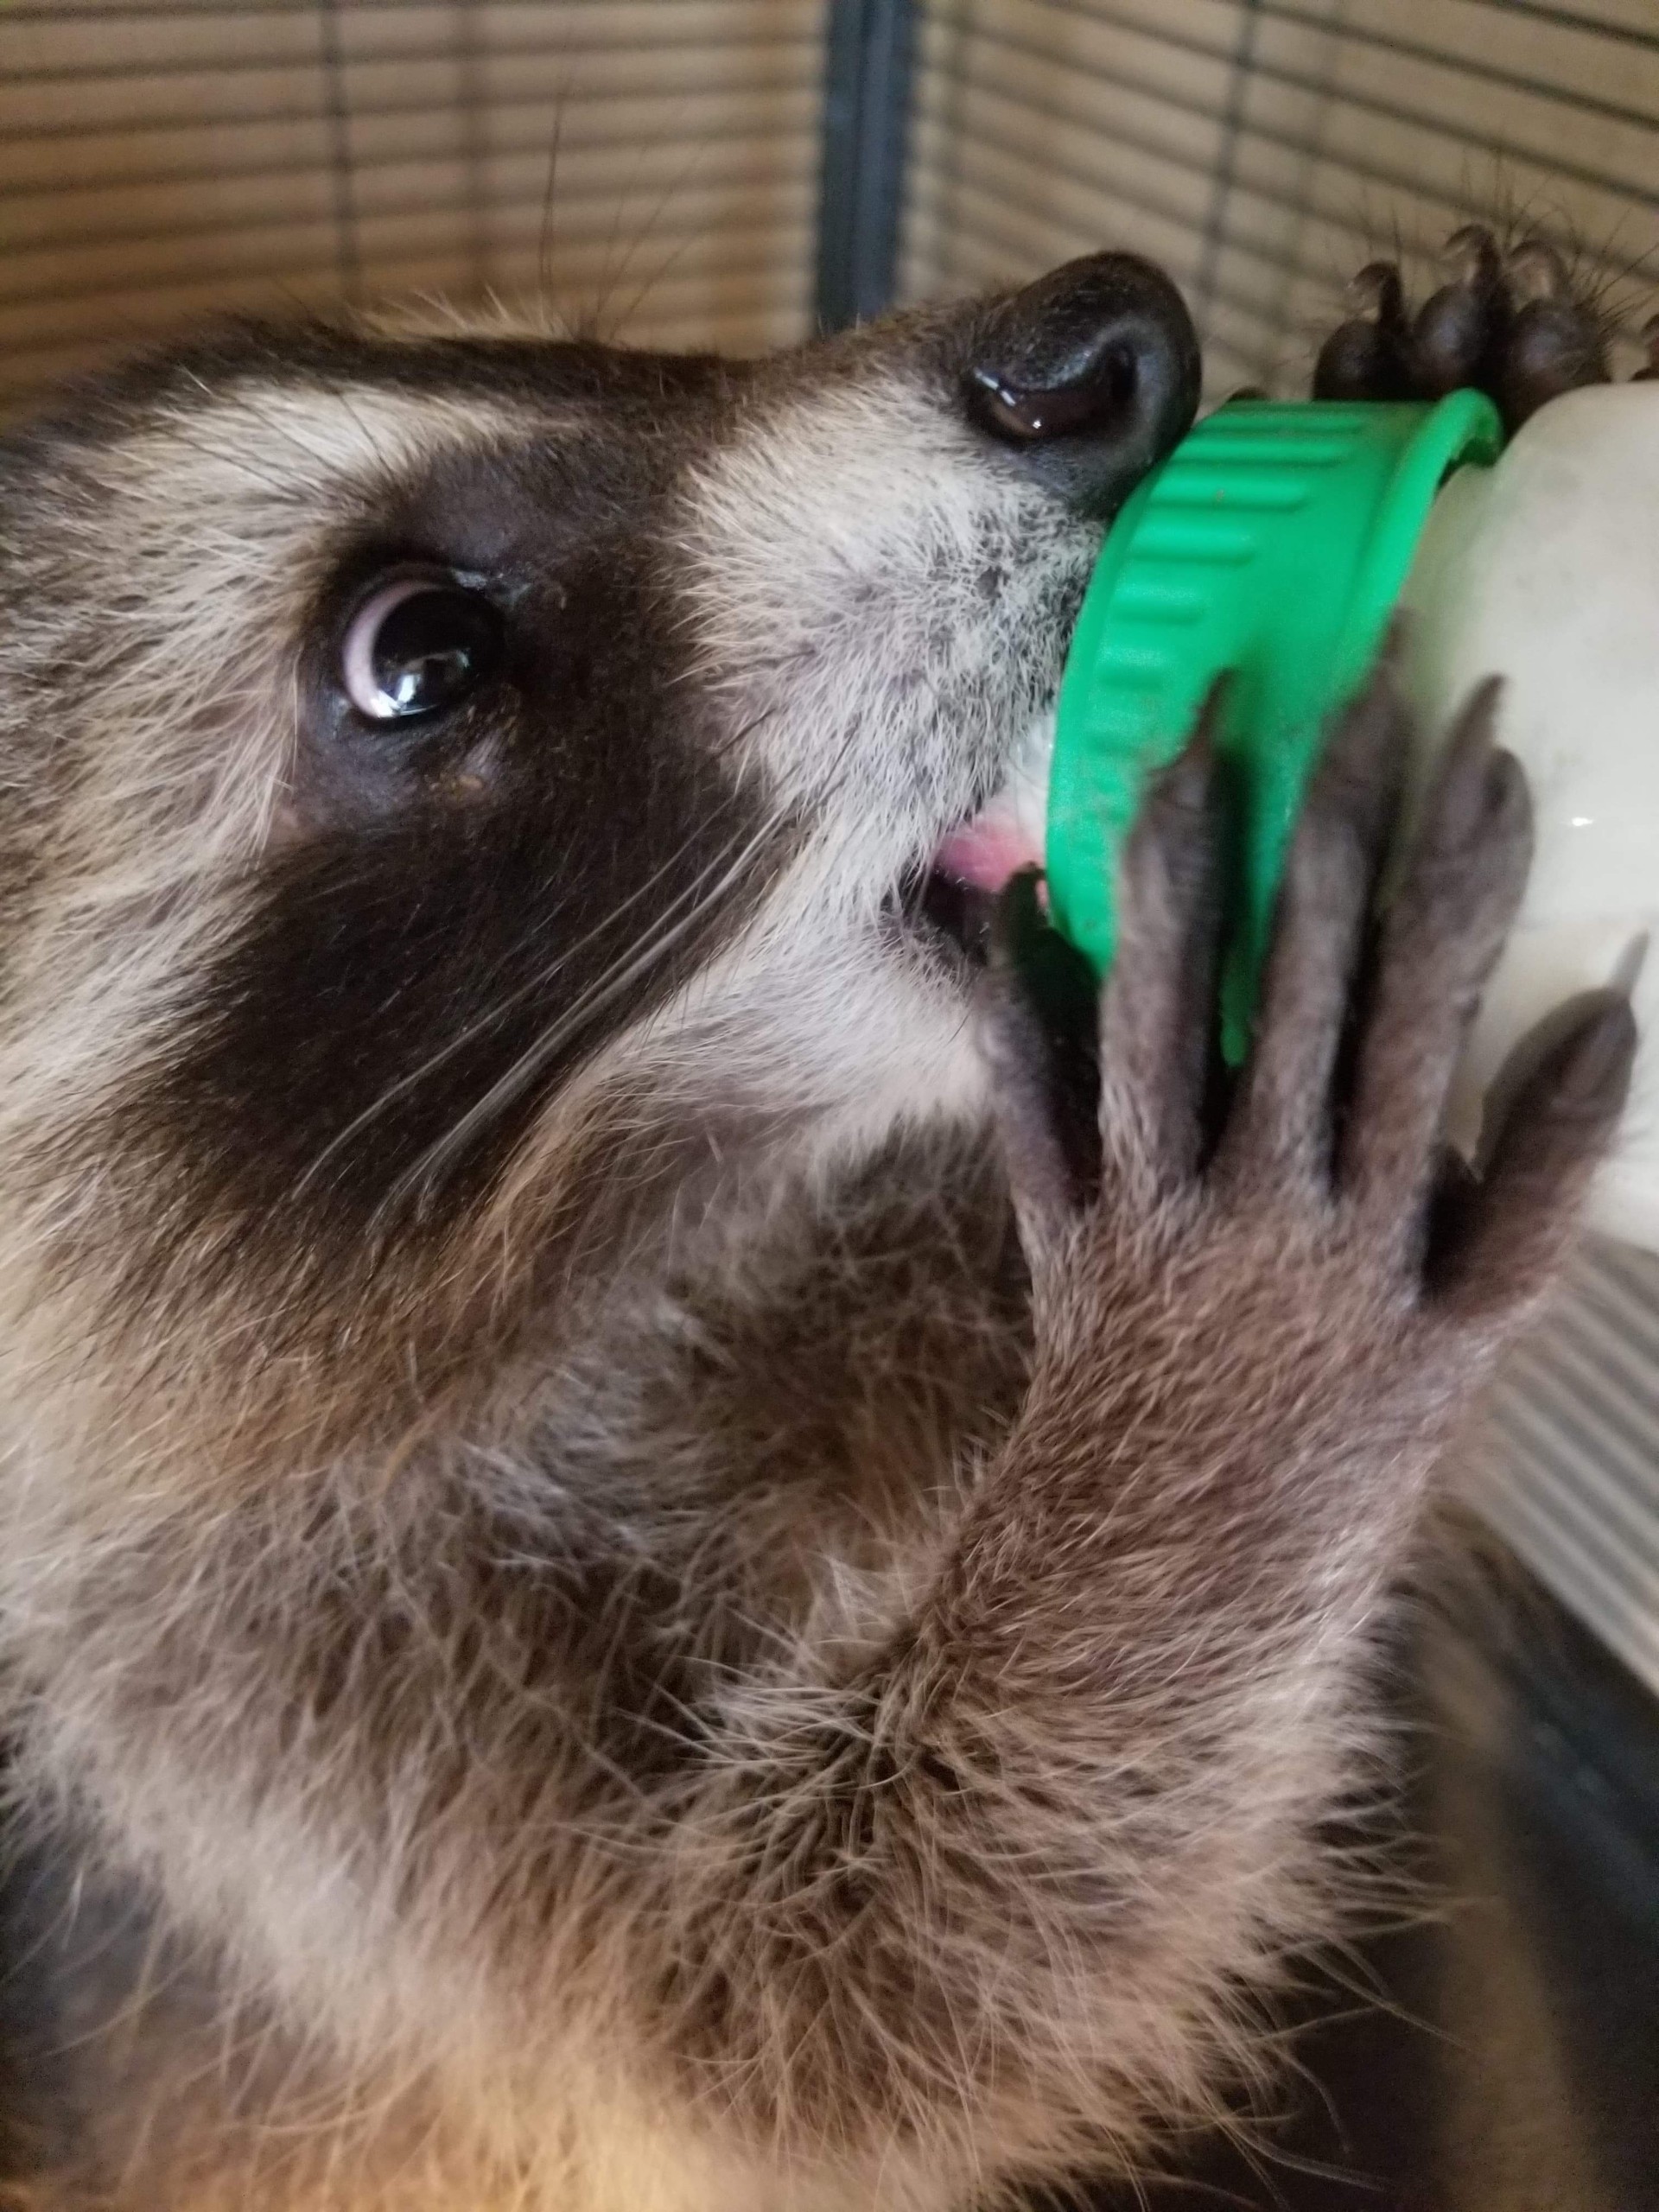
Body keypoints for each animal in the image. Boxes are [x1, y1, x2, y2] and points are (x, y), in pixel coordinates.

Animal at [0, 233, 1637, 2202]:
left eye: (599, 360)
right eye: (417, 656)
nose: (1098, 335)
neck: (713, 1217)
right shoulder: (254, 1721)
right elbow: (793, 2002)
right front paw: (1239, 1369)